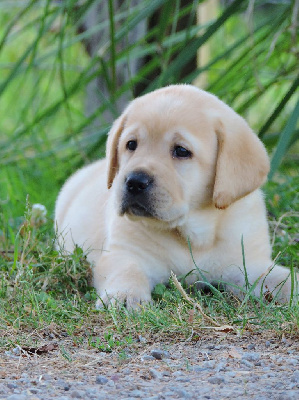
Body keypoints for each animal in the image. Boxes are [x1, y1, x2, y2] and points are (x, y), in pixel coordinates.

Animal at [55, 86, 296, 308]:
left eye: (181, 151)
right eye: (131, 144)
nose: (134, 181)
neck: (192, 233)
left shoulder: (251, 264)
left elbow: (284, 279)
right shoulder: (124, 252)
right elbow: (126, 271)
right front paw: (124, 296)